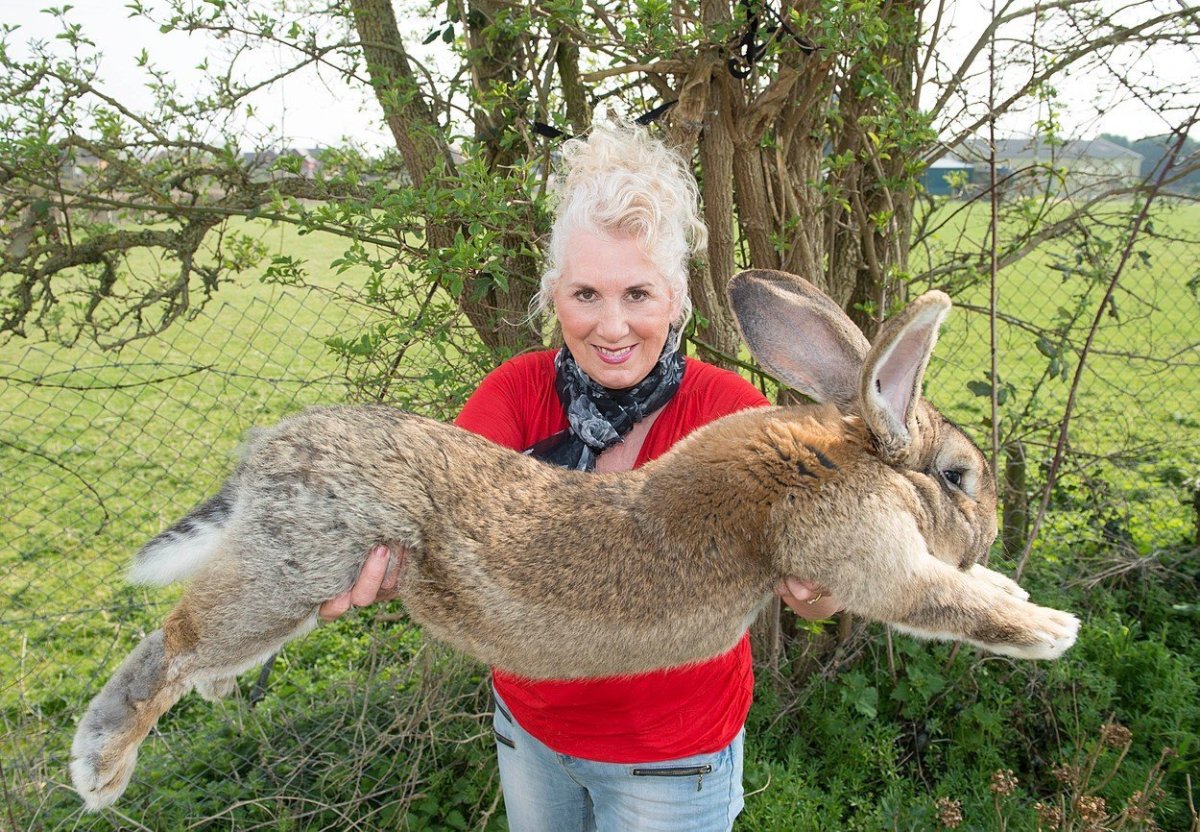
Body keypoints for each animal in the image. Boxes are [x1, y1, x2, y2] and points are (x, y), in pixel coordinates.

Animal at [70, 269, 1079, 810]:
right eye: (959, 476)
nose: (992, 527)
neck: (852, 458)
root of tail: (265, 456)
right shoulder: (867, 557)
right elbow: (943, 602)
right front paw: (1049, 629)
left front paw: (1025, 598)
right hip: (296, 567)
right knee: (173, 643)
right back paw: (101, 766)